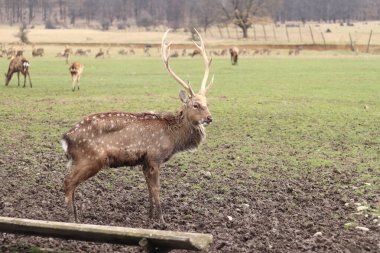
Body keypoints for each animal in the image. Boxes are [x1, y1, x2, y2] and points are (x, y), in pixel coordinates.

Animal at [61, 28, 214, 224]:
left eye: (207, 103)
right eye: (195, 105)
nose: (209, 118)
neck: (172, 137)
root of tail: (66, 138)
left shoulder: (144, 161)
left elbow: (149, 191)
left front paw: (149, 219)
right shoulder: (154, 157)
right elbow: (156, 190)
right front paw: (162, 221)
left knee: (70, 183)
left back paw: (77, 218)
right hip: (90, 158)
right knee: (68, 182)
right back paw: (72, 219)